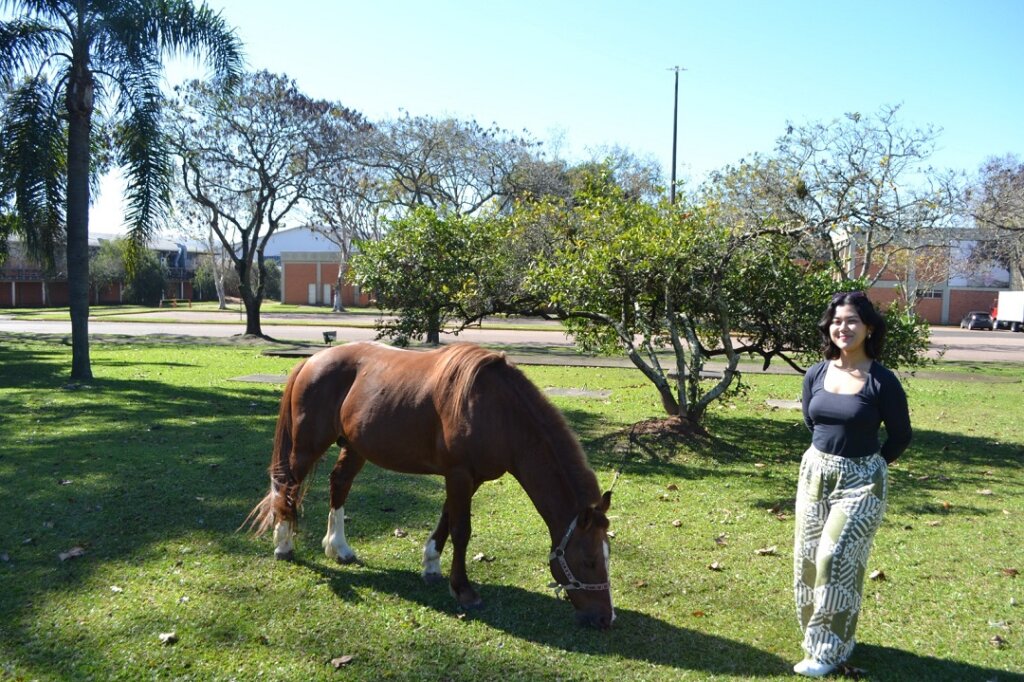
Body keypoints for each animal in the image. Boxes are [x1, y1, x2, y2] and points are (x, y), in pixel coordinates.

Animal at [246, 341, 615, 629]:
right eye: (589, 561)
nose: (605, 618)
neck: (498, 411)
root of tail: (311, 361)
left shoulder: (470, 479)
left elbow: (447, 520)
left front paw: (431, 565)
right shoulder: (459, 474)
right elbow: (462, 529)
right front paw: (463, 589)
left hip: (355, 446)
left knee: (339, 484)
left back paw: (339, 547)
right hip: (307, 446)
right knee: (288, 487)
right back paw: (284, 544)